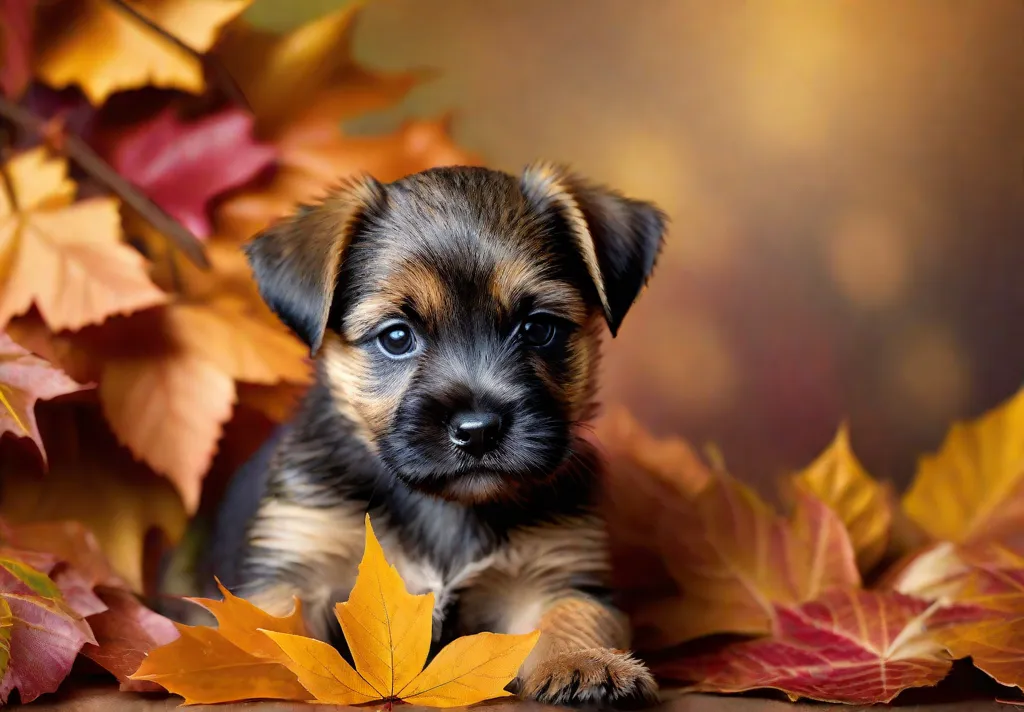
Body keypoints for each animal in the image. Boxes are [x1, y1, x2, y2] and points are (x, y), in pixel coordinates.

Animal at [211, 162, 667, 708]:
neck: (445, 507)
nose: (478, 430)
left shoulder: (557, 572)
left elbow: (572, 613)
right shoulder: (297, 568)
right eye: (396, 337)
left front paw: (585, 661)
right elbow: (275, 629)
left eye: (539, 329)